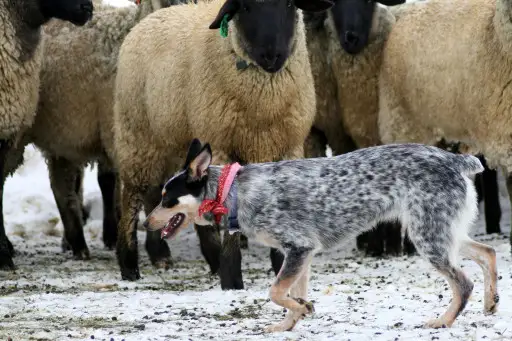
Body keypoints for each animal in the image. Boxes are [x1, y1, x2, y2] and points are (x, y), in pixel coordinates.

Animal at [112, 0, 334, 282]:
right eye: (246, 8)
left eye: (289, 4)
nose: (272, 56)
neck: (265, 103)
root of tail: (149, 18)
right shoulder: (223, 145)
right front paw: (232, 278)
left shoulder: (289, 146)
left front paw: (279, 264)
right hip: (138, 138)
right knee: (131, 197)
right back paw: (129, 264)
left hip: (181, 146)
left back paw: (212, 259)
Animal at [144, 137, 500, 330]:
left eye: (166, 199)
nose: (145, 223)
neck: (233, 191)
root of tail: (456, 160)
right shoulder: (302, 254)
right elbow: (291, 294)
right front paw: (291, 321)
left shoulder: (298, 248)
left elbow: (276, 292)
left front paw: (301, 310)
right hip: (444, 233)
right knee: (488, 252)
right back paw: (491, 302)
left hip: (429, 238)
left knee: (463, 283)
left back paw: (444, 321)